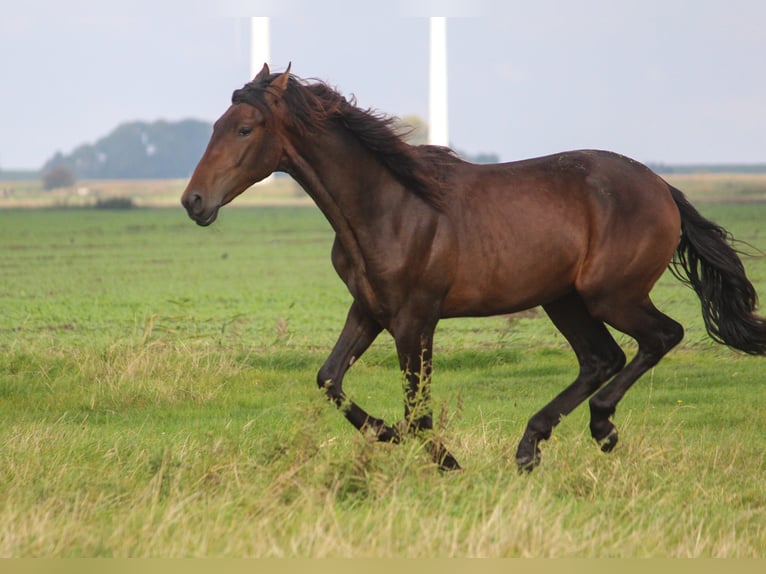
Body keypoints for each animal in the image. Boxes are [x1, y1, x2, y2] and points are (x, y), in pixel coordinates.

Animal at [182, 65, 766, 474]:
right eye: (216, 126)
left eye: (245, 128)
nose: (193, 202)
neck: (390, 205)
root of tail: (662, 188)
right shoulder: (369, 310)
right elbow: (330, 379)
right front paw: (387, 434)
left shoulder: (415, 319)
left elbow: (418, 410)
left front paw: (444, 460)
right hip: (564, 299)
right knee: (602, 357)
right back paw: (531, 446)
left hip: (610, 295)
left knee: (661, 336)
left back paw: (601, 427)